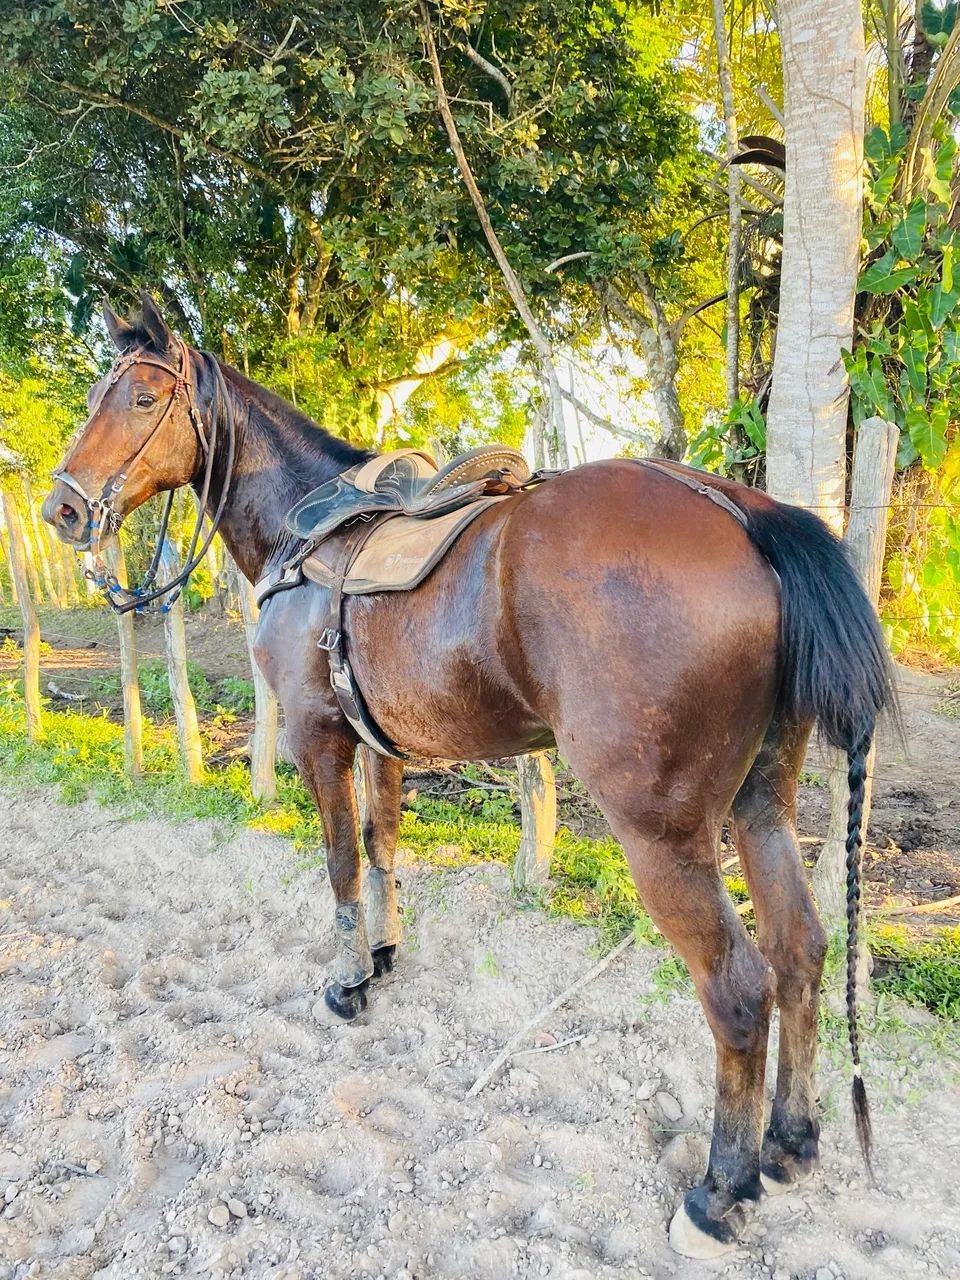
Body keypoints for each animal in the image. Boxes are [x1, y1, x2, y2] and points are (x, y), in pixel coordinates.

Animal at [42, 295, 895, 1259]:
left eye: (144, 398)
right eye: (101, 395)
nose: (62, 509)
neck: (306, 532)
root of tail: (745, 512)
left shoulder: (316, 740)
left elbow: (340, 865)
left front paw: (345, 986)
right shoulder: (379, 745)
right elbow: (381, 848)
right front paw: (381, 958)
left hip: (662, 834)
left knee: (741, 989)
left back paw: (720, 1192)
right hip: (761, 805)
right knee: (800, 951)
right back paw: (790, 1142)